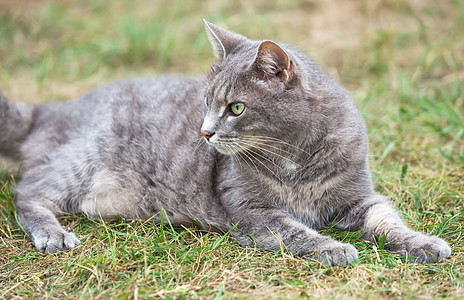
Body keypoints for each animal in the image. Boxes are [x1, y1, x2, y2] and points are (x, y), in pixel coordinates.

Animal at [0, 19, 450, 266]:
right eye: (206, 102)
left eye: (235, 107)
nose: (204, 132)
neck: (296, 158)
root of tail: (56, 108)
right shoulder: (251, 211)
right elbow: (296, 231)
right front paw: (333, 247)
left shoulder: (360, 196)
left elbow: (387, 220)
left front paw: (424, 243)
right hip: (82, 159)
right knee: (28, 193)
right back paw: (53, 234)